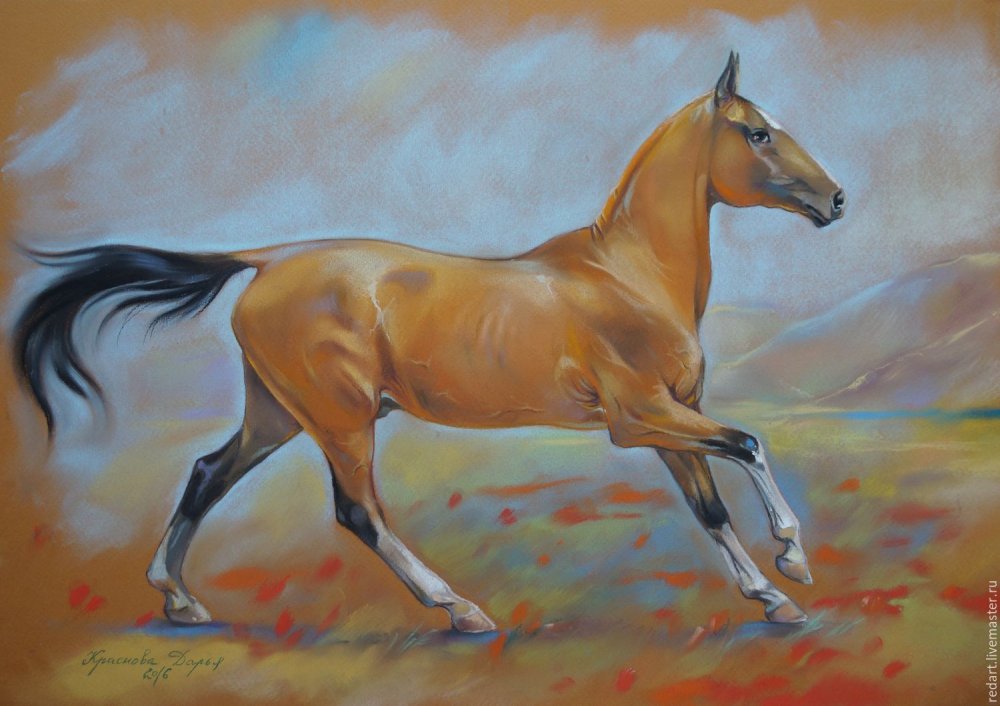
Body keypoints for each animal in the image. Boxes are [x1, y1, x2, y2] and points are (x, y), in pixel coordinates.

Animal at [14, 52, 844, 632]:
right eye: (757, 132)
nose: (836, 199)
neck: (626, 274)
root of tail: (270, 260)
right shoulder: (640, 418)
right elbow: (747, 445)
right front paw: (794, 562)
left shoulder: (672, 421)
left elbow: (710, 508)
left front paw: (773, 598)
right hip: (341, 420)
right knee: (358, 513)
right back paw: (460, 610)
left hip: (278, 414)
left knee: (207, 473)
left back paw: (179, 600)